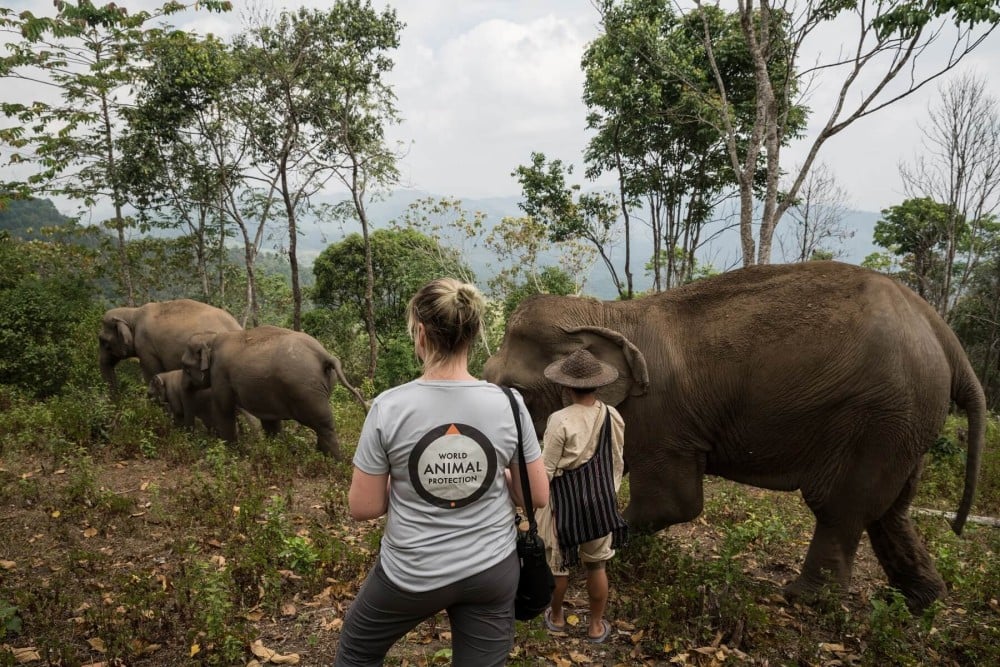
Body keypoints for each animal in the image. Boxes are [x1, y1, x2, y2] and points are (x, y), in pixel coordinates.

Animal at [180, 324, 368, 460]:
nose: (188, 438)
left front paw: (230, 453)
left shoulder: (220, 373)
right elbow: (269, 420)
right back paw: (321, 456)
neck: (212, 336)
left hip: (305, 389)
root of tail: (323, 354)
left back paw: (334, 462)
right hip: (323, 384)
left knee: (323, 423)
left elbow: (224, 409)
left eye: (185, 367)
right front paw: (274, 450)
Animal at [482, 260, 984, 612]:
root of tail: (944, 335)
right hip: (905, 423)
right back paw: (914, 602)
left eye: (520, 392)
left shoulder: (664, 416)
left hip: (878, 417)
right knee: (890, 511)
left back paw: (804, 599)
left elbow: (674, 503)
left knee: (839, 507)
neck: (608, 314)